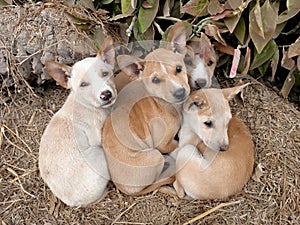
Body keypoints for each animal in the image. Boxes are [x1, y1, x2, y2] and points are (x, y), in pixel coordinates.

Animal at [37, 37, 117, 207]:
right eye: (83, 84)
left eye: (105, 74)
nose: (106, 94)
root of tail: (72, 202)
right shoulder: (99, 135)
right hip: (99, 154)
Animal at [101, 22, 190, 196]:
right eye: (155, 80)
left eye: (178, 69)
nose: (180, 92)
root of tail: (123, 188)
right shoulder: (163, 144)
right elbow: (176, 145)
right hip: (155, 155)